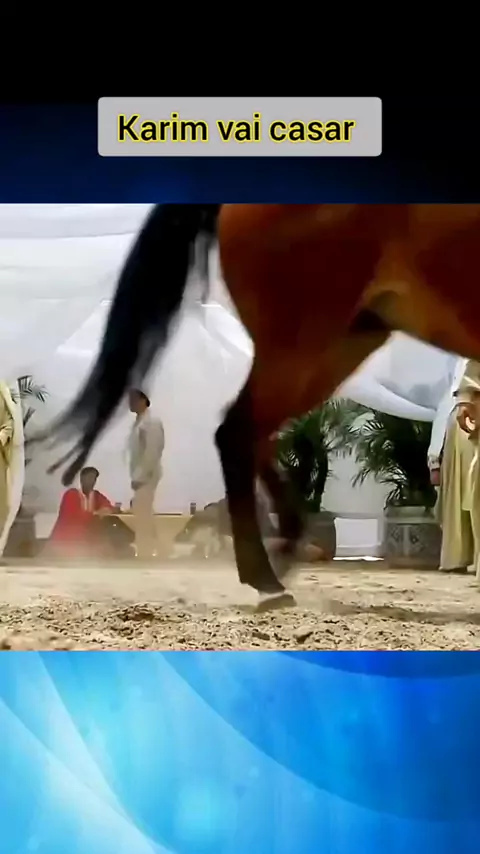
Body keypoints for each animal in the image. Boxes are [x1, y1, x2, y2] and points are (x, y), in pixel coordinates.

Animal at [43, 203, 480, 610]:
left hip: (340, 343)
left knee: (252, 433)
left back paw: (284, 547)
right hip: (306, 342)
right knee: (238, 431)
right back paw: (268, 573)